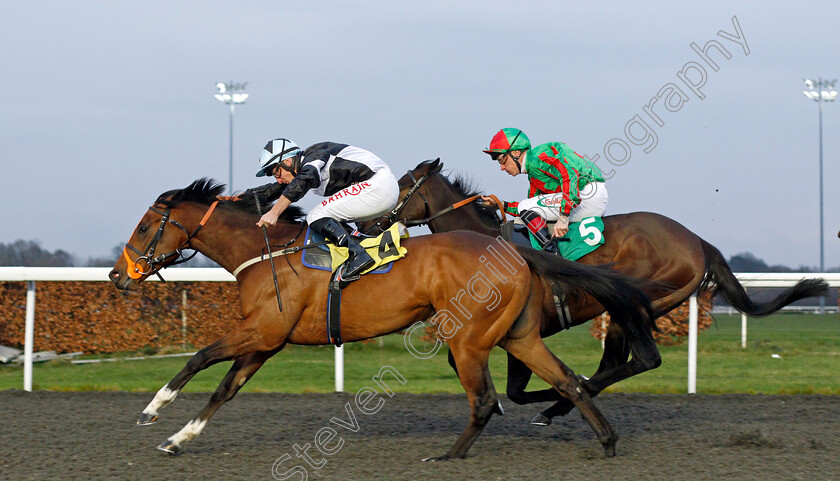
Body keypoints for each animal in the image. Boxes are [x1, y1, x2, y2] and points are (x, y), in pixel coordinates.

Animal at [110, 179, 664, 458]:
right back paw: (606, 442)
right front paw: (178, 438)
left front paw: (153, 409)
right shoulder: (268, 341)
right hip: (519, 335)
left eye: (144, 226)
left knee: (485, 399)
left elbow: (199, 357)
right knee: (569, 381)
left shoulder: (263, 330)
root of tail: (512, 251)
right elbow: (225, 388)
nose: (118, 276)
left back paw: (447, 457)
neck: (263, 252)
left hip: (469, 339)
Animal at [356, 160, 828, 424]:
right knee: (620, 363)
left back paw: (558, 405)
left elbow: (515, 386)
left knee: (643, 360)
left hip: (636, 305)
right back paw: (562, 404)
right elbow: (495, 381)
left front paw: (553, 394)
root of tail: (698, 242)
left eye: (400, 188)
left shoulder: (515, 329)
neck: (486, 245)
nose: (366, 224)